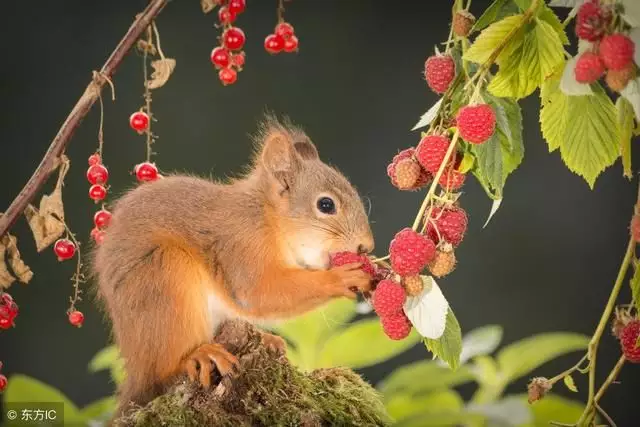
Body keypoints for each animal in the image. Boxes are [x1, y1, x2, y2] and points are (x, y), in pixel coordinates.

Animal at [93, 118, 378, 414]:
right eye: (326, 204)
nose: (365, 247)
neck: (267, 216)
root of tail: (135, 368)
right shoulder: (242, 245)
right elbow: (260, 292)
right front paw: (343, 278)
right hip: (163, 276)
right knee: (164, 369)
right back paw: (198, 355)